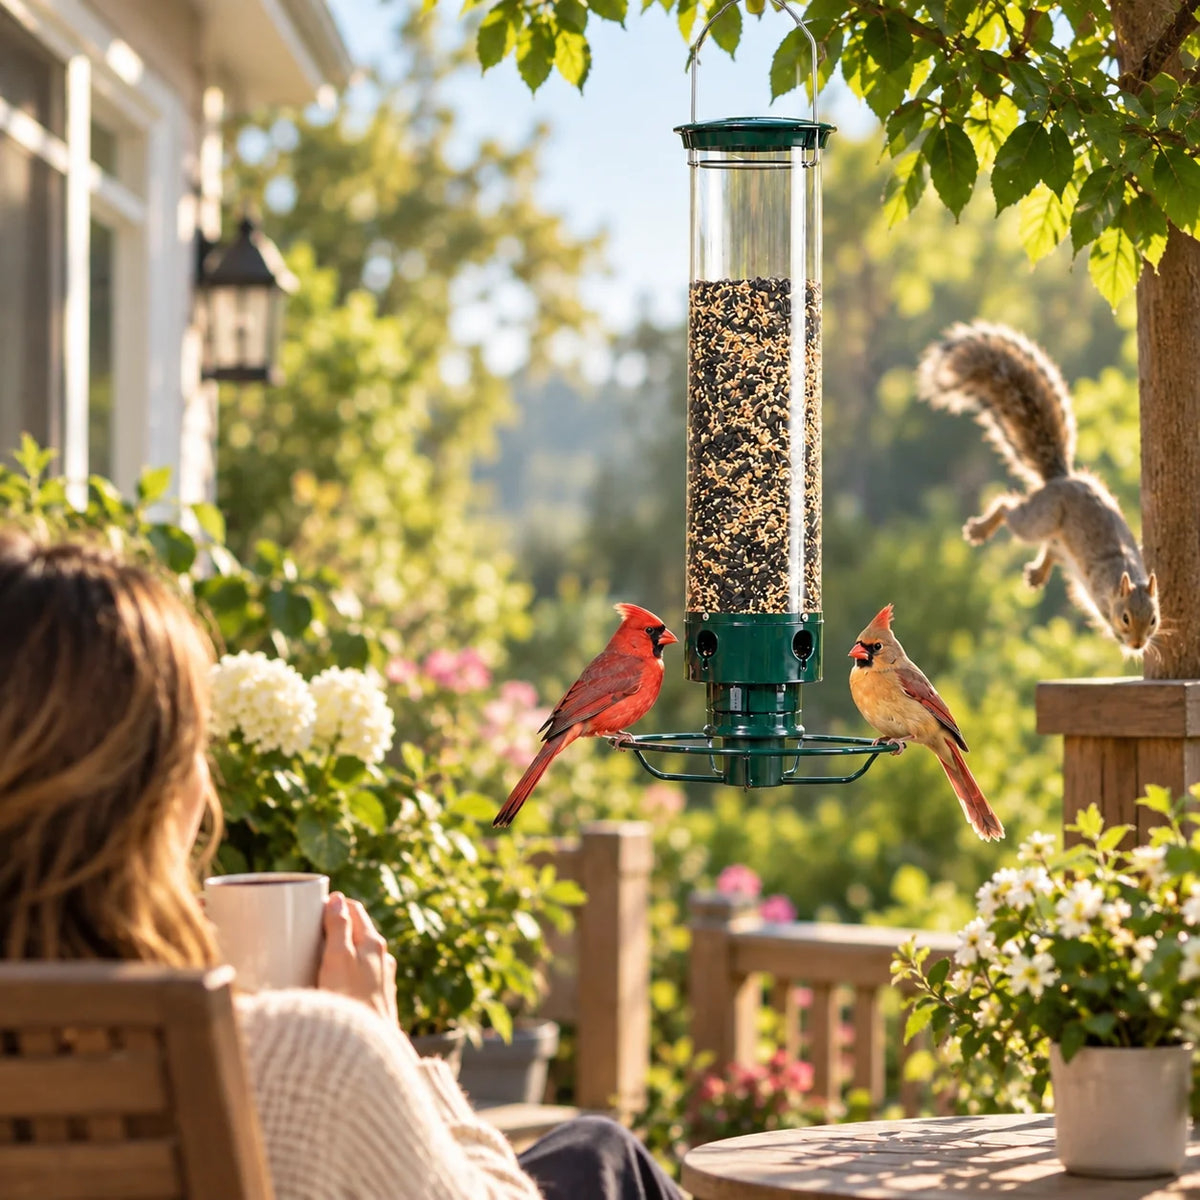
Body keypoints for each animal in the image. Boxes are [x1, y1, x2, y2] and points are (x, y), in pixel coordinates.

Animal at [916, 320, 1159, 655]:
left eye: (1154, 620)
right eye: (1125, 618)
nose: (1137, 643)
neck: (1123, 576)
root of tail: (1060, 479)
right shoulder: (1097, 591)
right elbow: (1099, 612)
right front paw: (1121, 643)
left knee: (1053, 549)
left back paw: (1037, 572)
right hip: (1038, 519)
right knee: (1008, 508)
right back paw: (981, 529)